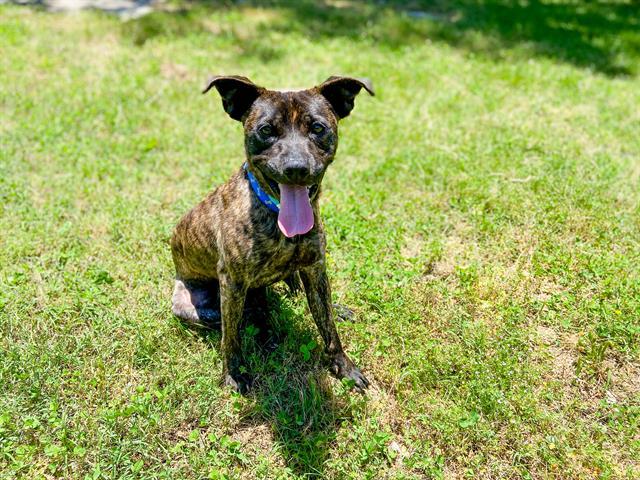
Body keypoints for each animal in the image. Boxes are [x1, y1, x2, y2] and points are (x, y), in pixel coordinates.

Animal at [170, 74, 376, 390]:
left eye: (318, 128)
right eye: (266, 130)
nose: (296, 168)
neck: (277, 216)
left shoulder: (315, 269)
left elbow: (328, 325)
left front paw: (344, 366)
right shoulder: (232, 284)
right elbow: (231, 338)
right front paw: (233, 373)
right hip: (192, 305)